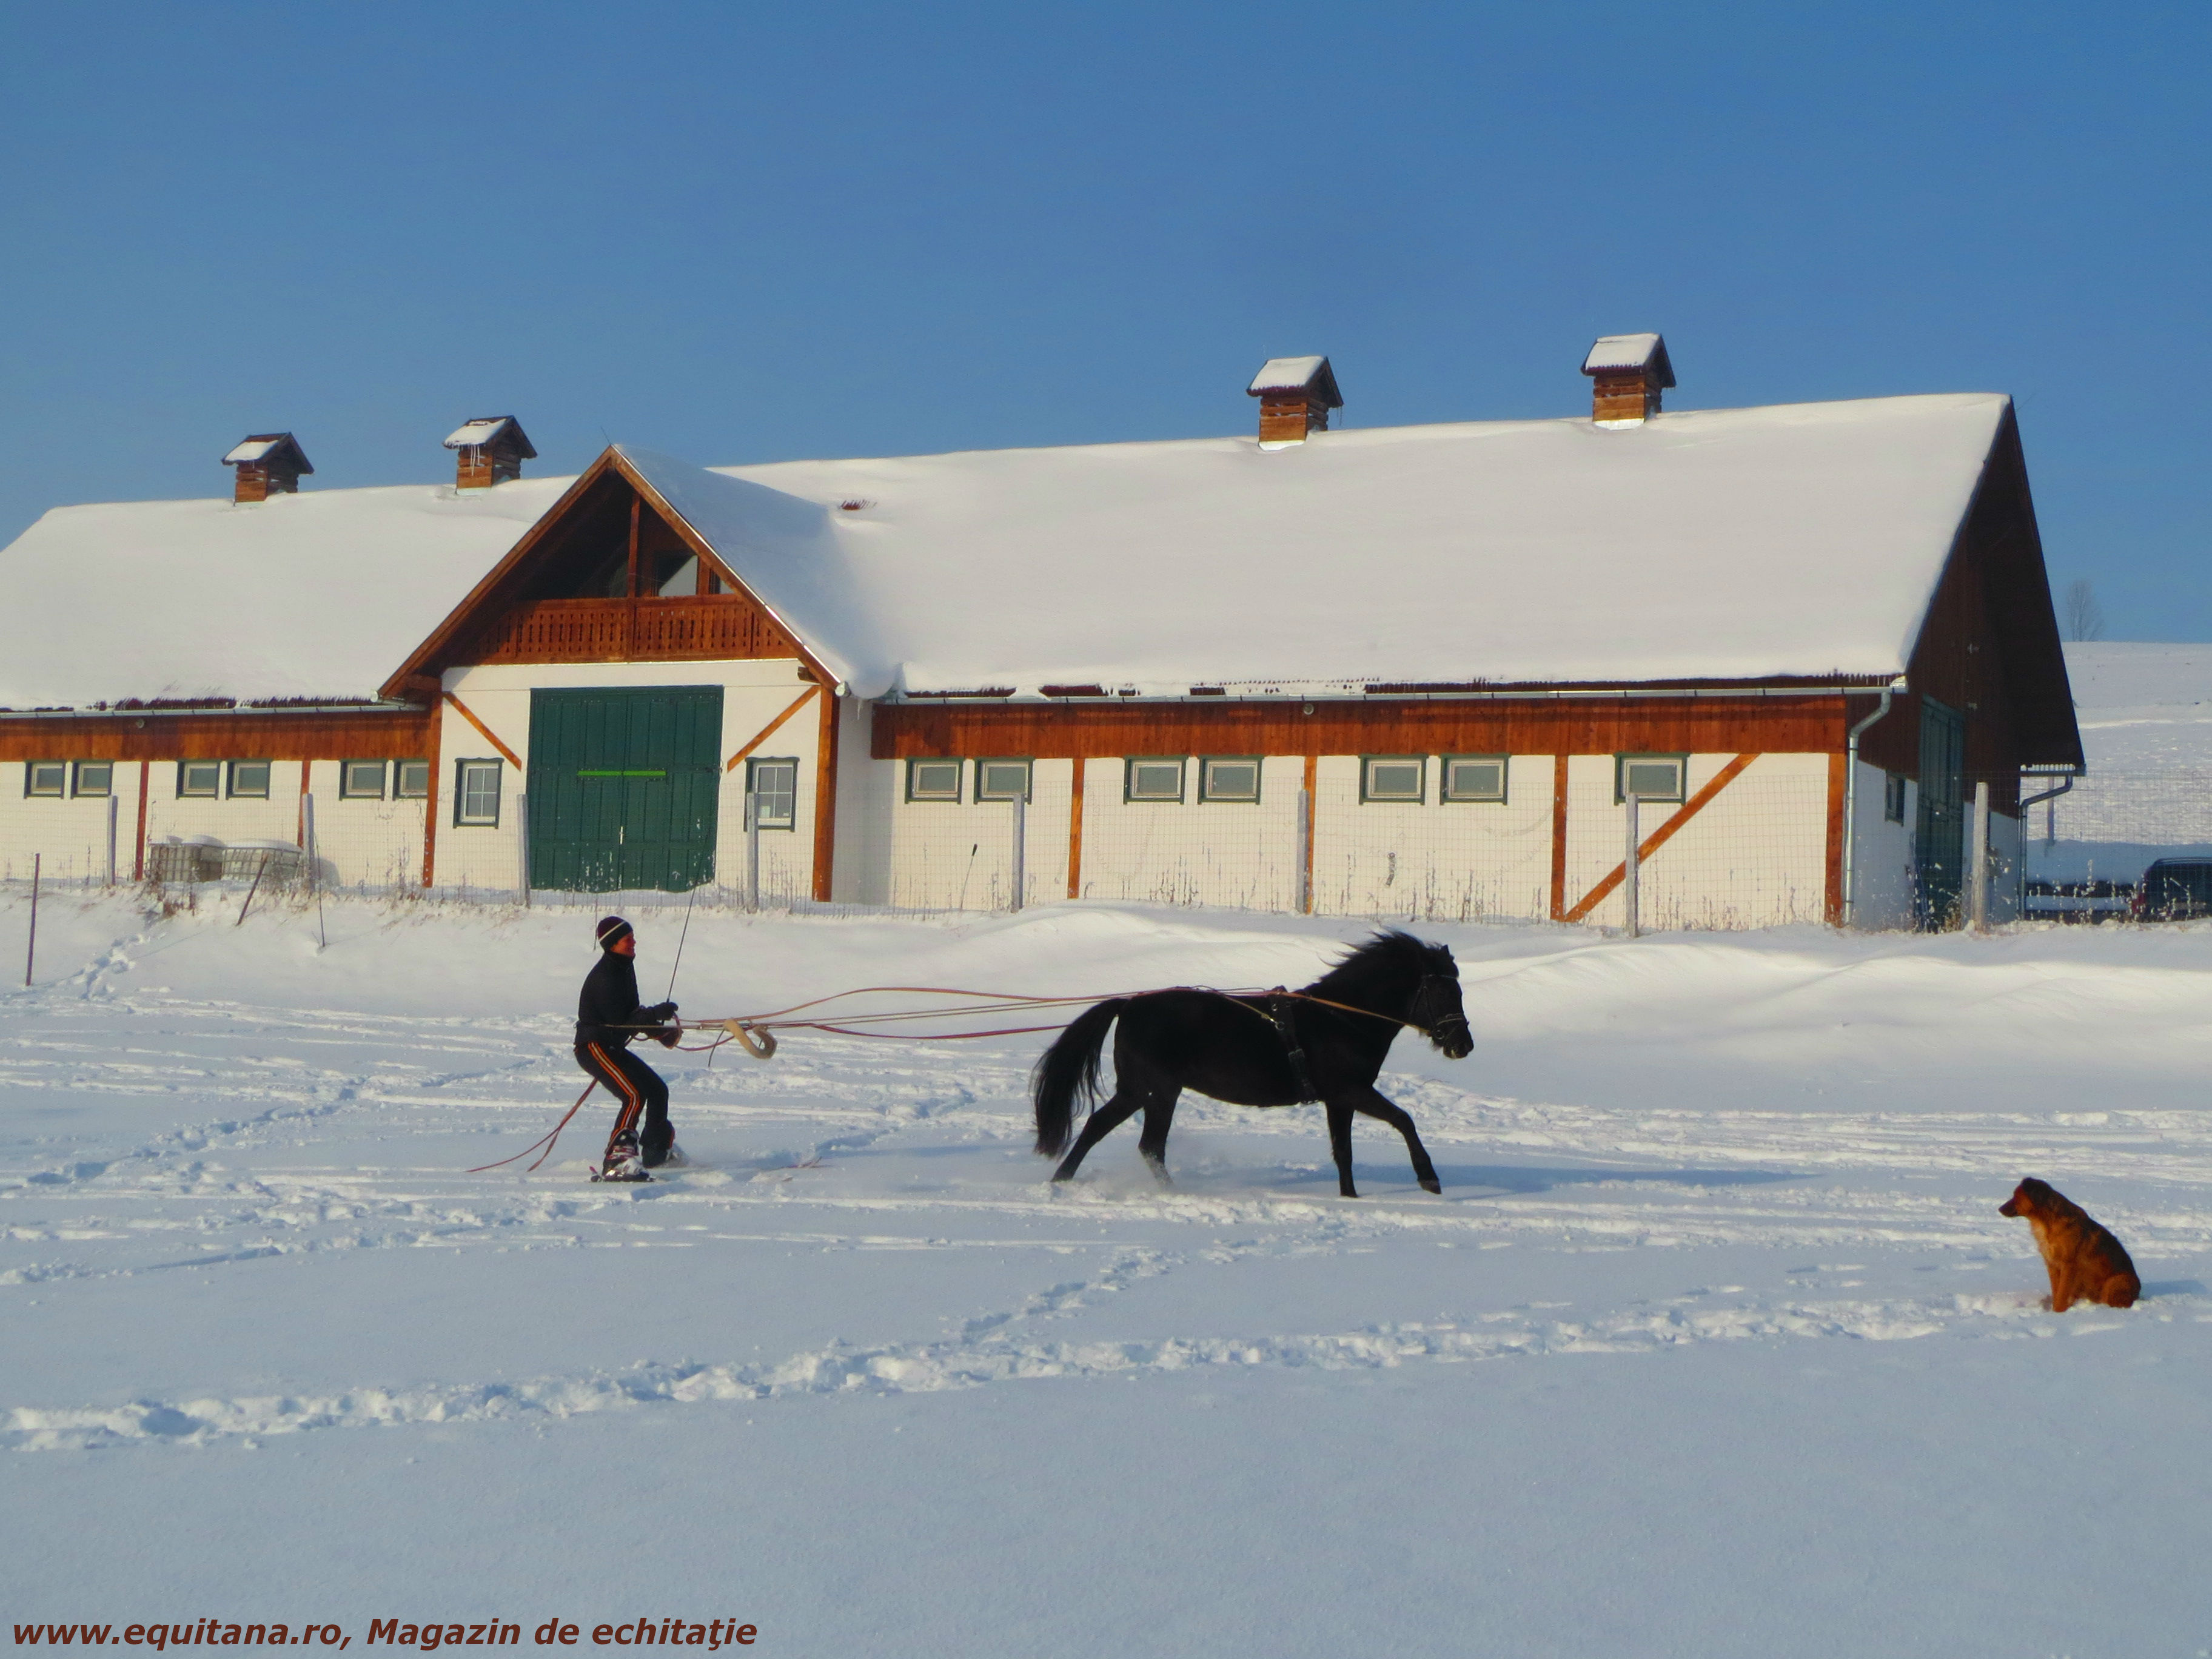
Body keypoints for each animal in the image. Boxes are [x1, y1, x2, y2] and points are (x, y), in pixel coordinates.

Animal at [1030, 937, 1477, 1194]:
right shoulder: (1352, 1091)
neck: (1341, 1019)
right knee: (1118, 1135)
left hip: (1154, 1093)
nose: (1464, 1045)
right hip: (1150, 1090)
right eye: (1443, 990)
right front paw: (1429, 1178)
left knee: (1134, 1141)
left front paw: (1349, 1199)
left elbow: (1344, 1153)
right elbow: (1404, 1120)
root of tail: (1129, 1005)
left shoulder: (1339, 1101)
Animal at [1999, 1185, 2132, 1309]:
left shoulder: (2068, 1265)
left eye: (2016, 1196)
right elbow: (2057, 1291)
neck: (2047, 1225)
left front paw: (2058, 1313)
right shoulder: (2052, 1264)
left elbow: (2061, 1294)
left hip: (2115, 1281)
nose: (1999, 1209)